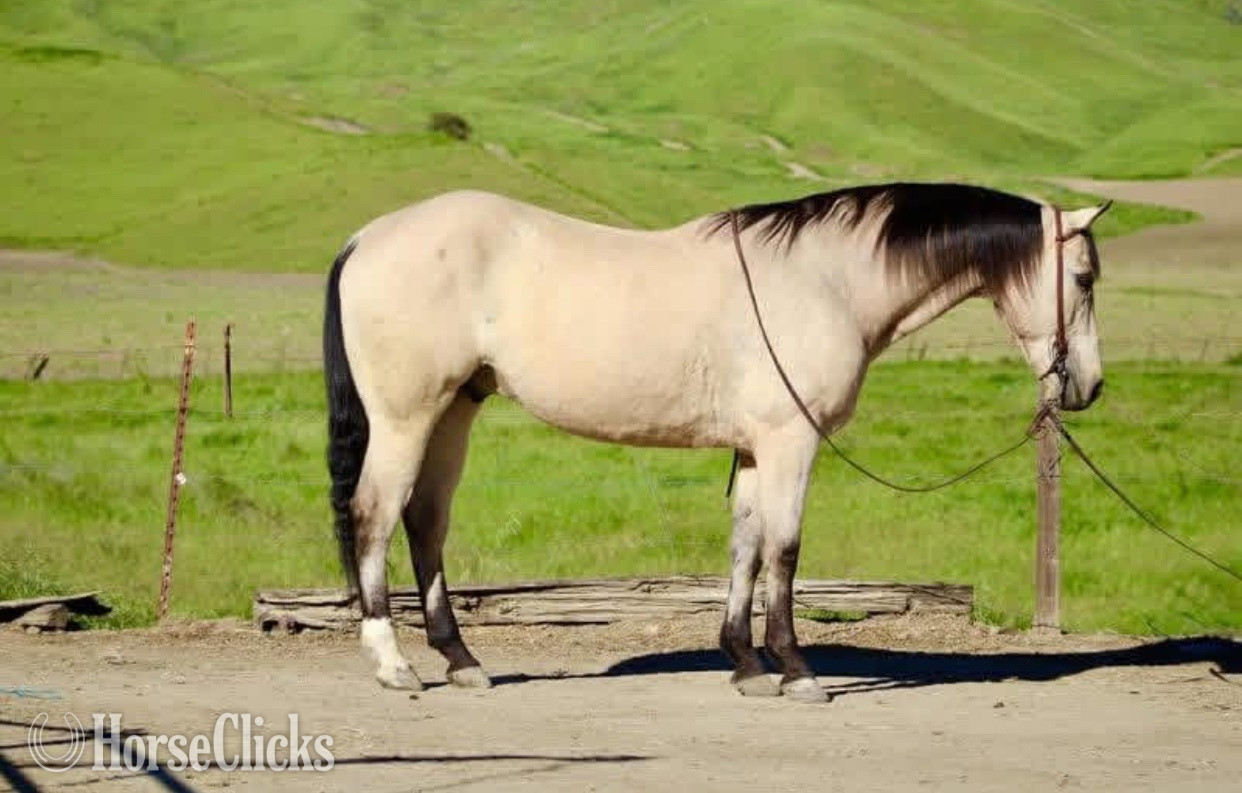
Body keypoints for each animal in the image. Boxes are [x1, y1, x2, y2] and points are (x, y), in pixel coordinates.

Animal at [322, 182, 1109, 703]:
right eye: (1084, 277)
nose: (1090, 386)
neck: (826, 280)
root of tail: (365, 239)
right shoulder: (792, 442)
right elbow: (785, 549)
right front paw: (797, 670)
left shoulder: (759, 447)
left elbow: (746, 546)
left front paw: (746, 664)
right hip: (406, 417)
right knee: (374, 516)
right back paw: (393, 662)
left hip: (454, 411)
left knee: (425, 521)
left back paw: (460, 659)